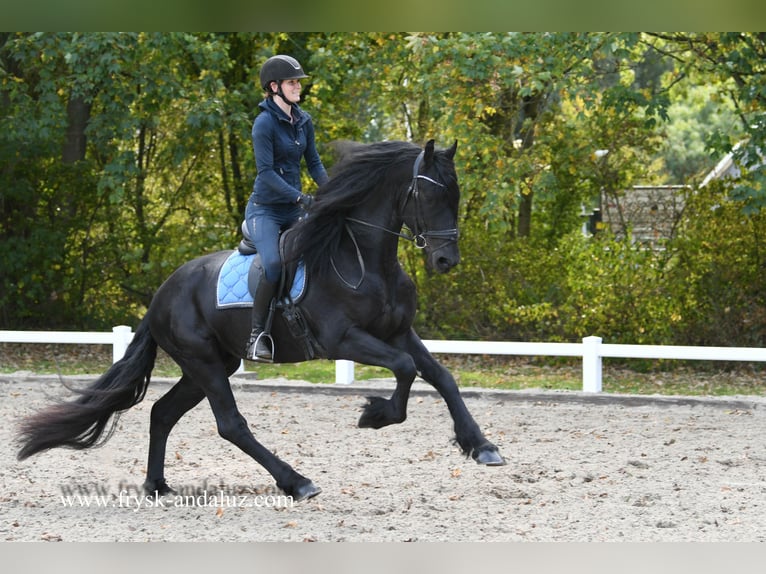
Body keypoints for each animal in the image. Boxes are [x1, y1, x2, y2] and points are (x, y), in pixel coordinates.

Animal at [16, 139, 505, 502]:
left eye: (455, 195)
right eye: (427, 194)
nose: (445, 260)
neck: (366, 259)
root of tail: (160, 296)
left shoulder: (399, 332)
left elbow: (441, 376)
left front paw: (481, 446)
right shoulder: (343, 339)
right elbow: (405, 370)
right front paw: (375, 414)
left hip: (211, 365)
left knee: (161, 413)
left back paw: (157, 486)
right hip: (204, 364)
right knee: (230, 424)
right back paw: (297, 482)